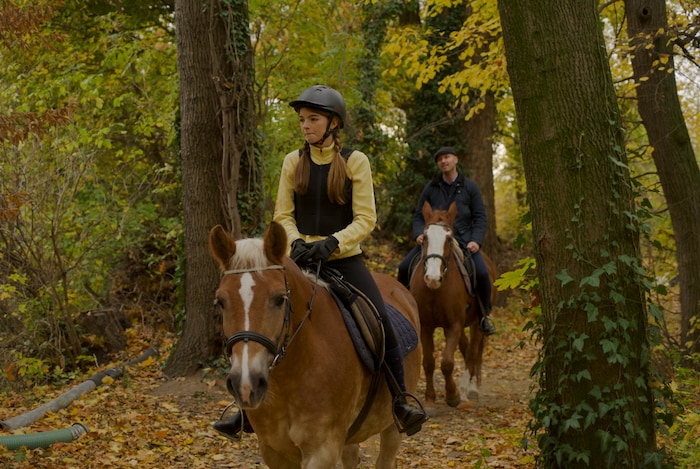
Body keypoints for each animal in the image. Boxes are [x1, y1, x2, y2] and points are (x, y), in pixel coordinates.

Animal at [208, 222, 422, 469]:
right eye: (220, 302)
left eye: (279, 299)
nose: (246, 385)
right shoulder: (273, 450)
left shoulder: (322, 450)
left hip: (391, 427)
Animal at [409, 201, 497, 408]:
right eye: (424, 237)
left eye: (449, 239)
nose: (432, 278)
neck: (436, 290)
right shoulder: (426, 326)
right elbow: (429, 362)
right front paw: (430, 399)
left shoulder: (454, 325)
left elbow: (447, 362)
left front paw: (453, 395)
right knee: (466, 348)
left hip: (477, 323)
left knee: (473, 352)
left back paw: (469, 389)